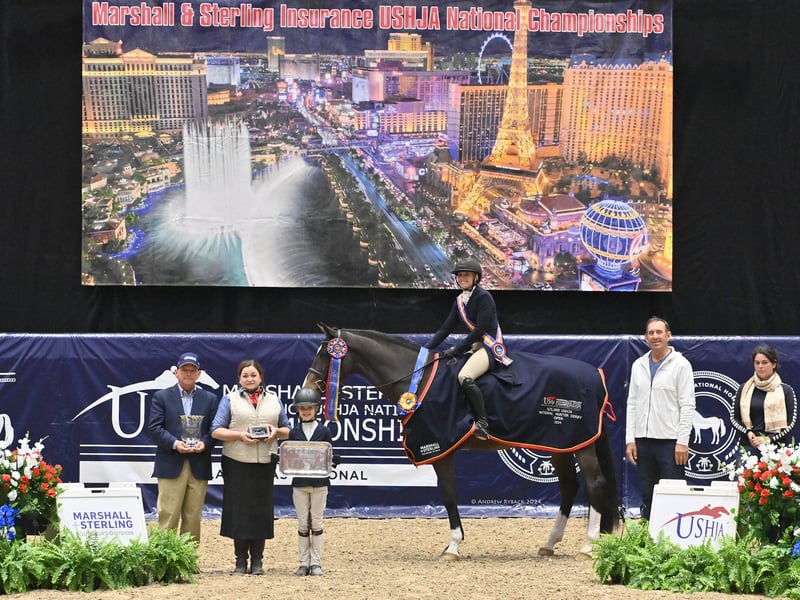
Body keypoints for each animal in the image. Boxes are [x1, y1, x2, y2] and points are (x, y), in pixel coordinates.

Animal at [304, 324, 620, 556]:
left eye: (326, 355)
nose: (309, 388)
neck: (418, 382)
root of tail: (595, 375)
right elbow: (450, 494)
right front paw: (453, 543)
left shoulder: (439, 449)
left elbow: (448, 494)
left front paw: (453, 546)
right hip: (561, 444)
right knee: (570, 486)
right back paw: (550, 543)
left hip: (581, 445)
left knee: (595, 483)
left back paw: (588, 545)